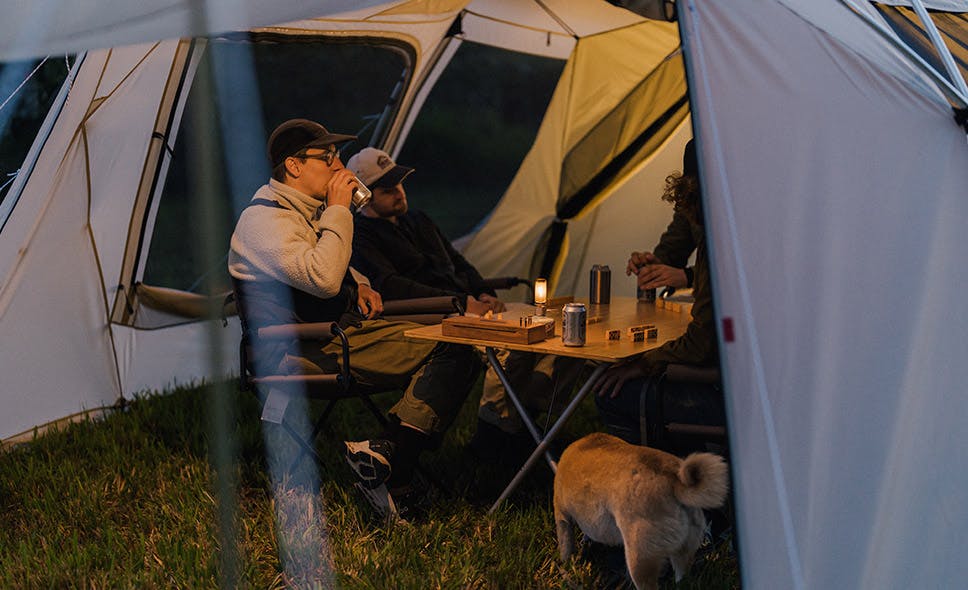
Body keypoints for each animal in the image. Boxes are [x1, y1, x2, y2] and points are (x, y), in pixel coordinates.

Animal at [552, 430, 728, 590]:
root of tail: (675, 481)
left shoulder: (562, 518)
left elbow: (565, 547)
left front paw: (565, 565)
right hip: (684, 551)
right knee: (682, 577)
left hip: (640, 559)